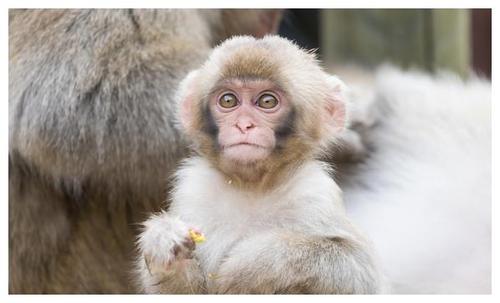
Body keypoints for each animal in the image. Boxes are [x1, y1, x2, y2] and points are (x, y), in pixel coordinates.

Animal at [135, 35, 380, 294]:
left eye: (267, 101)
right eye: (228, 100)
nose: (244, 125)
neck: (252, 186)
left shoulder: (315, 194)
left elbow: (359, 269)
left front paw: (253, 261)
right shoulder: (193, 192)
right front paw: (164, 241)